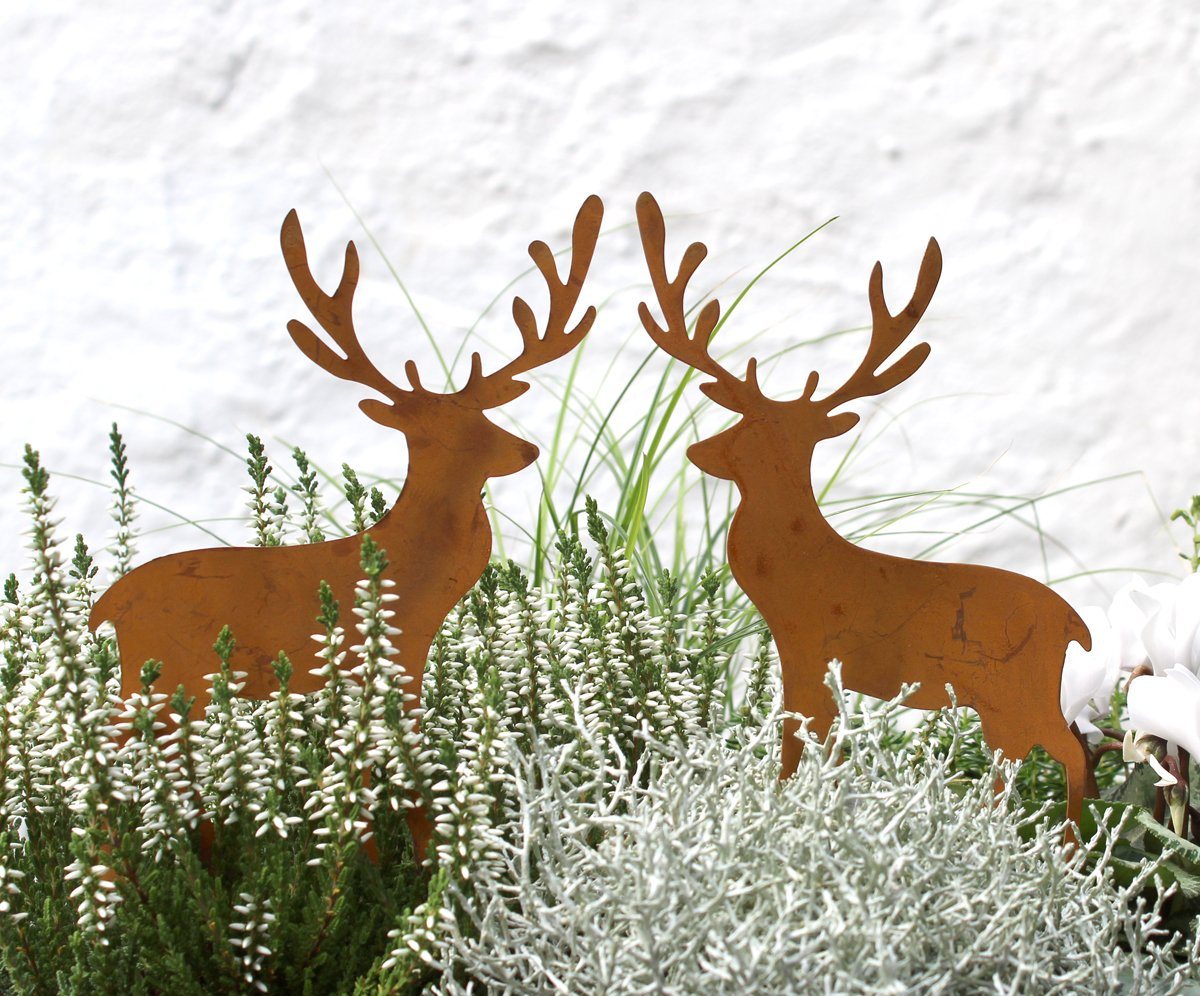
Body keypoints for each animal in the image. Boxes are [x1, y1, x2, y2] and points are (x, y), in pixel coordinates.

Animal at [89, 194, 604, 859]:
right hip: (158, 669)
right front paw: (416, 854)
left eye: (482, 414)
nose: (527, 449)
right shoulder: (394, 654)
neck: (409, 566)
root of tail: (108, 605)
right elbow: (399, 761)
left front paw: (367, 851)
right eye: (442, 432)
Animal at [635, 191, 1095, 834]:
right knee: (1031, 753)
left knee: (1065, 752)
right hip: (1007, 693)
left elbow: (798, 736)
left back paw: (1061, 846)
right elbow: (821, 742)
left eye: (751, 434)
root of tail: (1076, 624)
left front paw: (788, 806)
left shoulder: (809, 644)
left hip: (1014, 682)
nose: (699, 452)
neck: (797, 566)